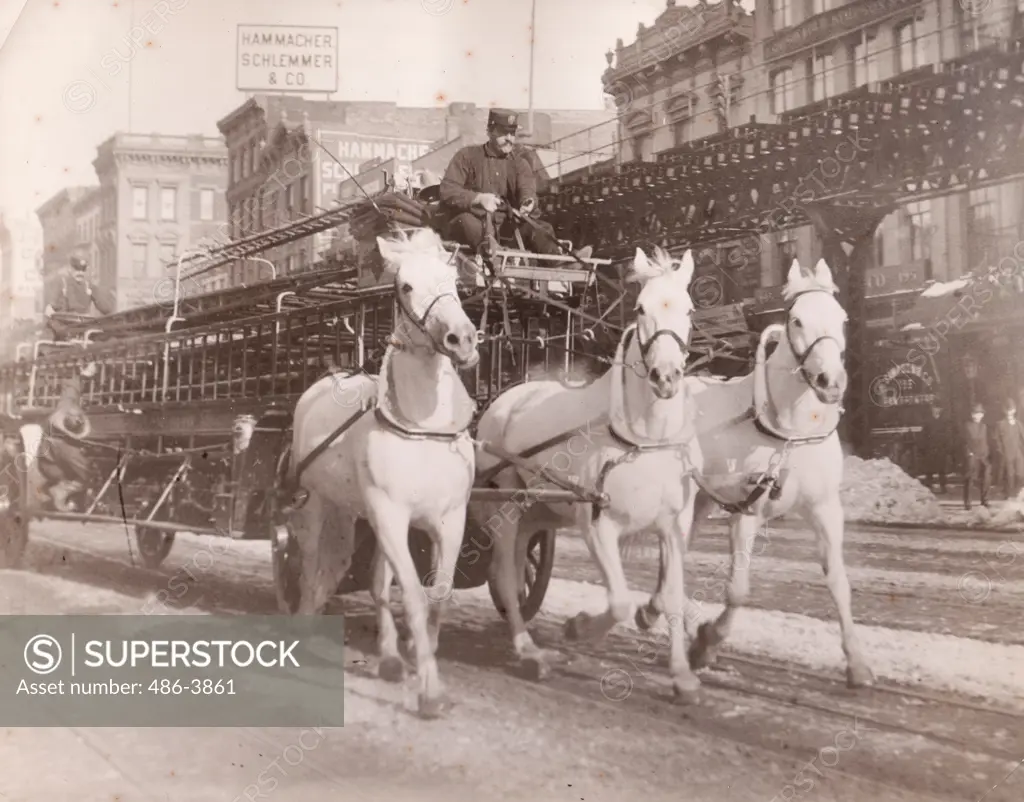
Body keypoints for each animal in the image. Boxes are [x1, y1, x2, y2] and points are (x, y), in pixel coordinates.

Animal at [288, 227, 479, 721]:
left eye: (455, 280)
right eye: (406, 286)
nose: (462, 339)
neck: (423, 427)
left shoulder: (449, 518)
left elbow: (438, 593)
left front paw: (415, 655)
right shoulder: (390, 514)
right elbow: (410, 593)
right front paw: (430, 692)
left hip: (364, 516)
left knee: (370, 578)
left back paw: (391, 658)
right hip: (320, 505)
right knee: (312, 565)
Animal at [473, 247, 704, 700]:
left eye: (688, 308)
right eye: (641, 307)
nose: (666, 377)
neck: (641, 440)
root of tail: (504, 398)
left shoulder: (675, 526)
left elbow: (670, 595)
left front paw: (681, 674)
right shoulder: (598, 522)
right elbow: (619, 601)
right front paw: (577, 628)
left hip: (538, 512)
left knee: (515, 570)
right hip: (504, 505)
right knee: (504, 575)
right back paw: (530, 652)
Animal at [638, 260, 872, 688]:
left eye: (843, 318)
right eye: (797, 319)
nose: (831, 382)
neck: (790, 431)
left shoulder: (826, 508)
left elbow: (838, 582)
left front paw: (857, 663)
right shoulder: (747, 510)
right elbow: (738, 590)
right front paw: (707, 641)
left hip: (700, 501)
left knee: (676, 554)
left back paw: (656, 606)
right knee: (672, 555)